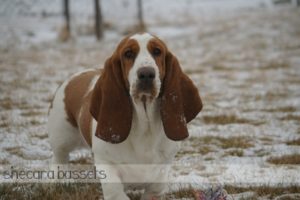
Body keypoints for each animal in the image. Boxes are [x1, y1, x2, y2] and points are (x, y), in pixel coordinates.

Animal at [48, 33, 203, 200]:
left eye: (157, 51)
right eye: (128, 53)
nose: (146, 74)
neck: (144, 125)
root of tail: (77, 76)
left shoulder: (162, 169)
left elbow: (156, 186)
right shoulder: (107, 164)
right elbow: (115, 191)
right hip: (61, 138)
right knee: (59, 159)